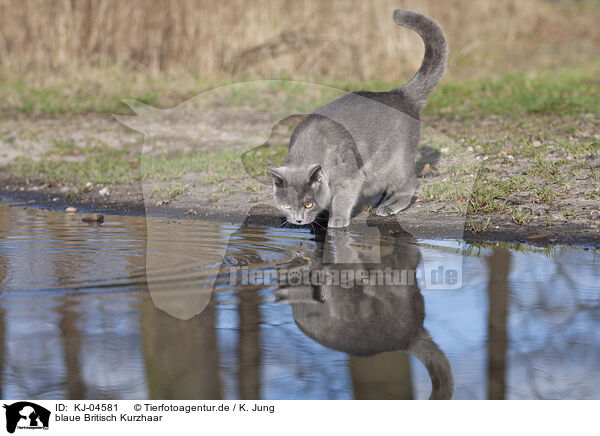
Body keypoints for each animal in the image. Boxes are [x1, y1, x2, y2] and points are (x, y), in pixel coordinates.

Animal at [270, 9, 448, 228]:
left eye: (308, 204)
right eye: (286, 206)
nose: (298, 220)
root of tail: (401, 94)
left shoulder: (349, 179)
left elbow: (342, 198)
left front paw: (336, 220)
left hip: (394, 163)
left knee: (411, 183)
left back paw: (388, 207)